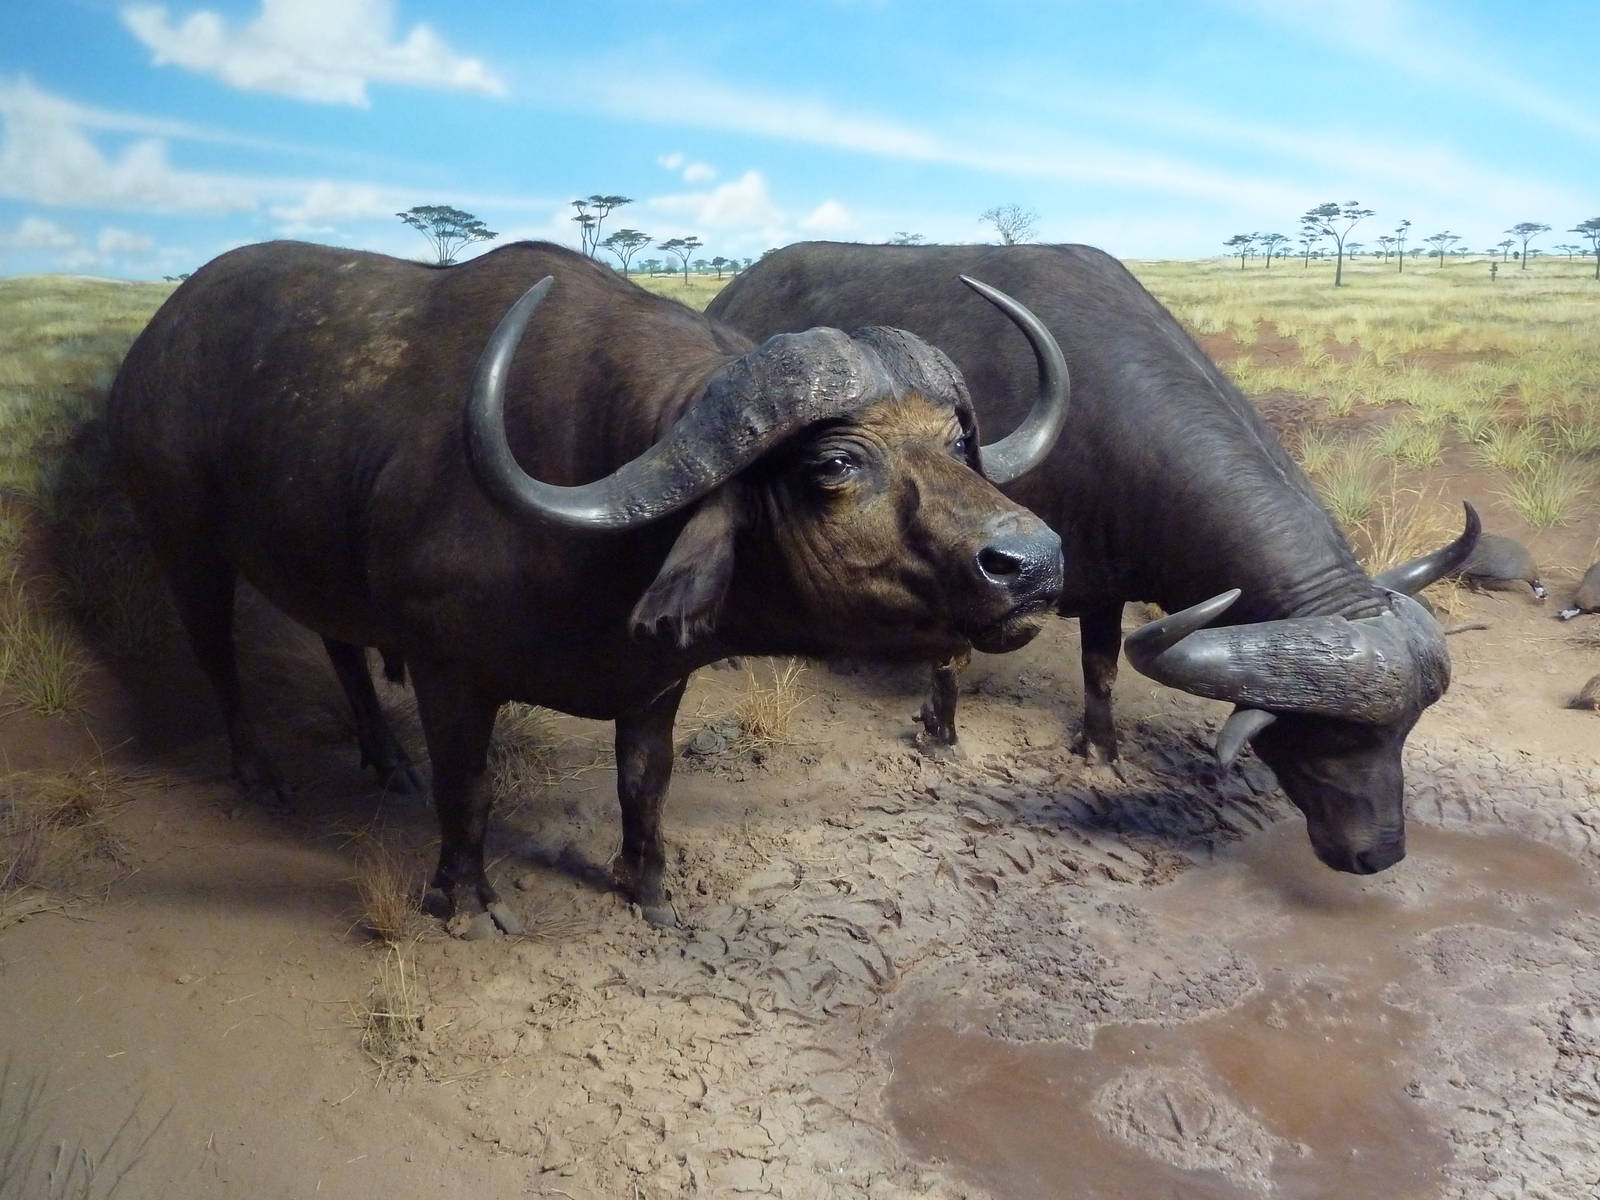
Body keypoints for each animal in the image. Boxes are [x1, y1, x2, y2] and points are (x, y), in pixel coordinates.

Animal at [108, 240, 1070, 935]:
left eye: (956, 441)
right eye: (834, 463)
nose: (1033, 562)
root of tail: (152, 345)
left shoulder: (655, 677)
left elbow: (645, 781)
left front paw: (645, 885)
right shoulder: (449, 675)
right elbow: (470, 786)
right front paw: (462, 897)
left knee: (342, 647)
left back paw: (384, 758)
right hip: (186, 548)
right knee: (218, 657)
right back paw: (258, 772)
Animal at [709, 242, 1478, 875]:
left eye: (1402, 733)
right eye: (1332, 734)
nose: (1380, 854)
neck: (1099, 420)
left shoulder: (1106, 585)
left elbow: (1102, 669)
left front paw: (1099, 750)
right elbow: (953, 655)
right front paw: (939, 735)